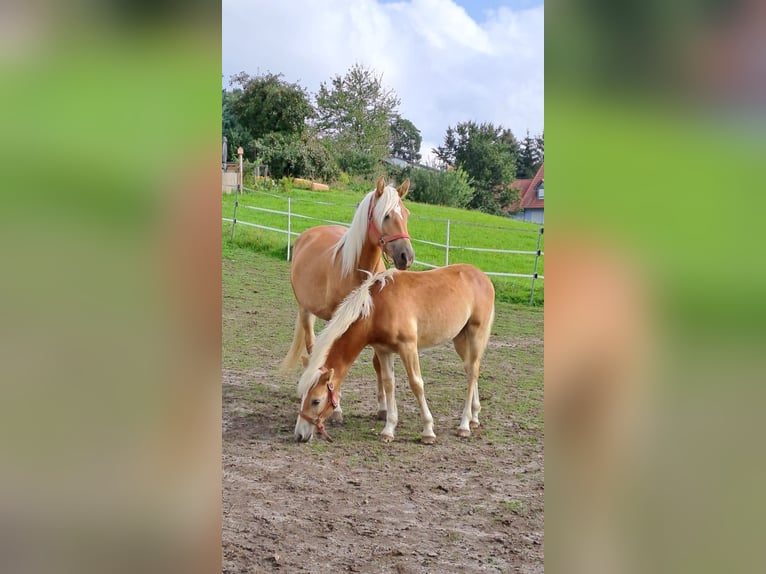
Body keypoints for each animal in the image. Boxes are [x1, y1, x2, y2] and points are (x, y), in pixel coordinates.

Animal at [280, 176, 414, 424]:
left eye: (406, 214)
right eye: (386, 216)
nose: (406, 257)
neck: (359, 270)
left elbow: (378, 363)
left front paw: (382, 408)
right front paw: (336, 409)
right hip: (305, 310)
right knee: (313, 348)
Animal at [294, 266, 498, 446]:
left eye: (316, 401)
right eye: (302, 397)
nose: (299, 435)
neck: (377, 308)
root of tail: (482, 277)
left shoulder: (408, 347)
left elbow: (416, 384)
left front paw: (428, 431)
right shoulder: (383, 350)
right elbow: (388, 384)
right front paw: (388, 430)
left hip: (475, 334)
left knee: (473, 372)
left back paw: (464, 425)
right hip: (460, 339)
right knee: (471, 370)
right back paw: (474, 418)